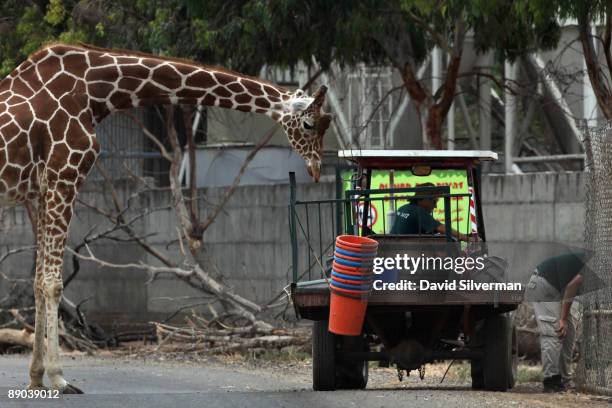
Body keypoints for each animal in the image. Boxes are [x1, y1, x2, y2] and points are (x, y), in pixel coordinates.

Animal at [0, 43, 332, 394]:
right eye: (310, 124)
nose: (315, 169)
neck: (95, 92)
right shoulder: (64, 176)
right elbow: (53, 284)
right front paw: (59, 378)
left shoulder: (39, 191)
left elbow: (38, 282)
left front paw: (35, 377)